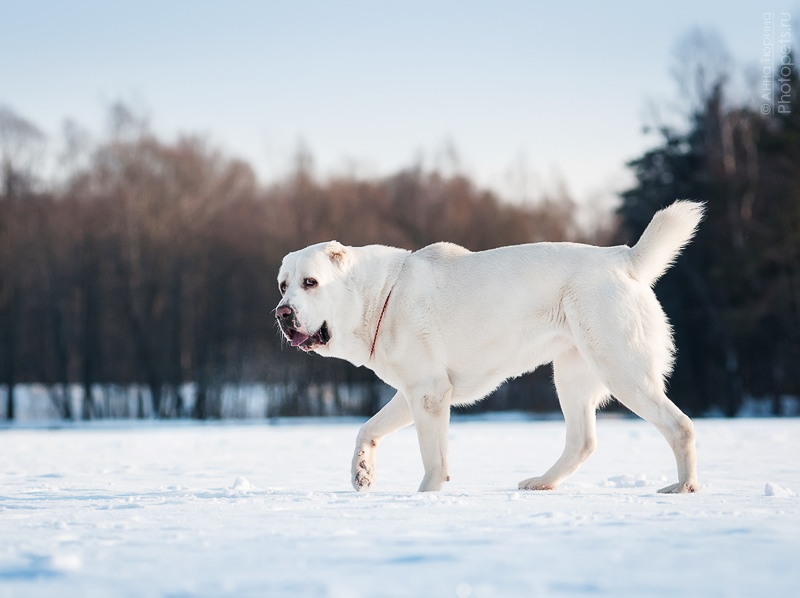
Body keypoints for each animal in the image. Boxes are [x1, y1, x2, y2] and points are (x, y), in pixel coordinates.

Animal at [278, 203, 704, 496]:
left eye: (311, 282)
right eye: (284, 285)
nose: (283, 313)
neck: (379, 296)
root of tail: (623, 257)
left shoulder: (429, 395)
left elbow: (433, 457)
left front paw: (425, 495)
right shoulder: (417, 390)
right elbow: (367, 428)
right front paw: (361, 472)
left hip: (620, 367)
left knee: (680, 426)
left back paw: (683, 487)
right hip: (572, 373)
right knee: (582, 442)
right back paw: (542, 482)